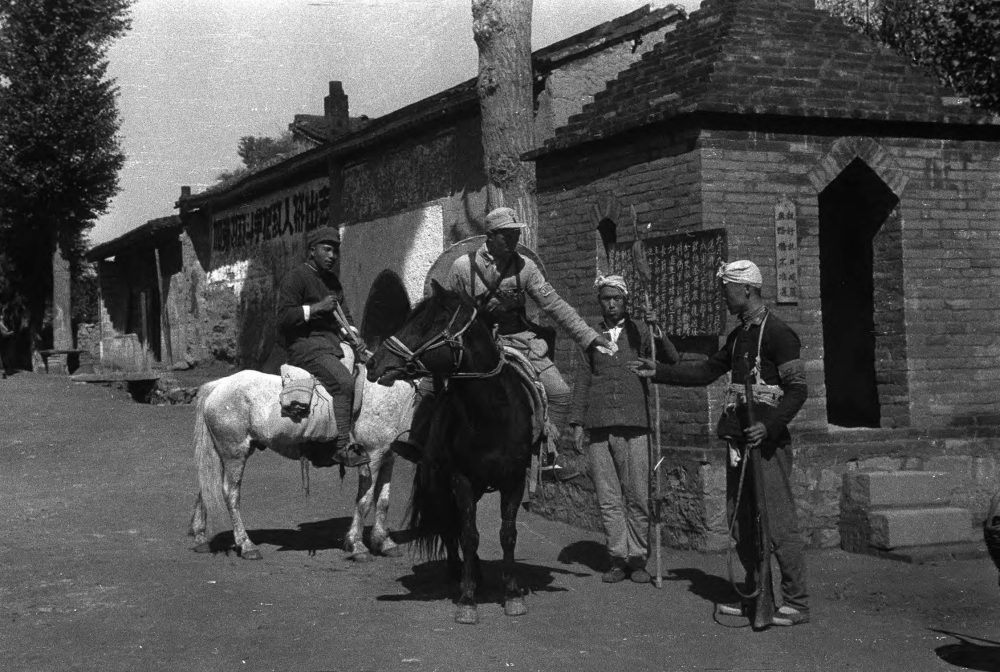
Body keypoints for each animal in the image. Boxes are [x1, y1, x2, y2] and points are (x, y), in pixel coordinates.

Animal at [187, 346, 414, 560]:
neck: (389, 393)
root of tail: (217, 386)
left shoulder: (387, 458)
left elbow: (383, 501)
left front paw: (385, 542)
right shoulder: (372, 456)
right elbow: (365, 501)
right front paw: (357, 545)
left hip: (223, 452)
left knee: (206, 487)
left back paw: (200, 538)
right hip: (234, 453)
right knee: (230, 494)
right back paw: (246, 545)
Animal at [368, 280, 540, 624]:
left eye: (424, 324)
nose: (373, 363)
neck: (491, 415)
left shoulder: (514, 480)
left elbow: (508, 534)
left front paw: (512, 595)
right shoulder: (461, 479)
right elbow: (469, 534)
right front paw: (468, 599)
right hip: (438, 479)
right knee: (450, 526)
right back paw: (457, 571)